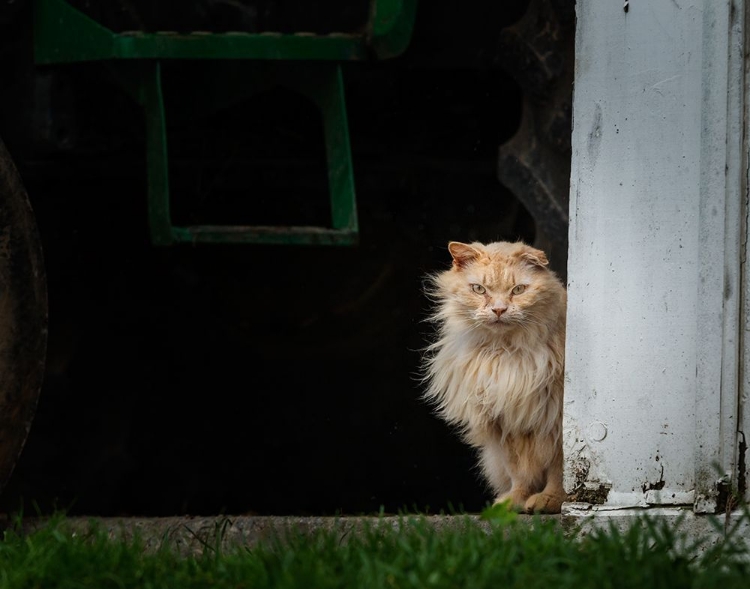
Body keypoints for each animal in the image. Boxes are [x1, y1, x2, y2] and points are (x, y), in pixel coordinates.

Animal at [420, 241, 568, 512]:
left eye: (518, 290)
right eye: (479, 289)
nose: (499, 310)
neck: (503, 353)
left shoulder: (555, 420)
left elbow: (558, 470)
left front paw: (551, 500)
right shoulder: (502, 421)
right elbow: (518, 471)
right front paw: (514, 501)